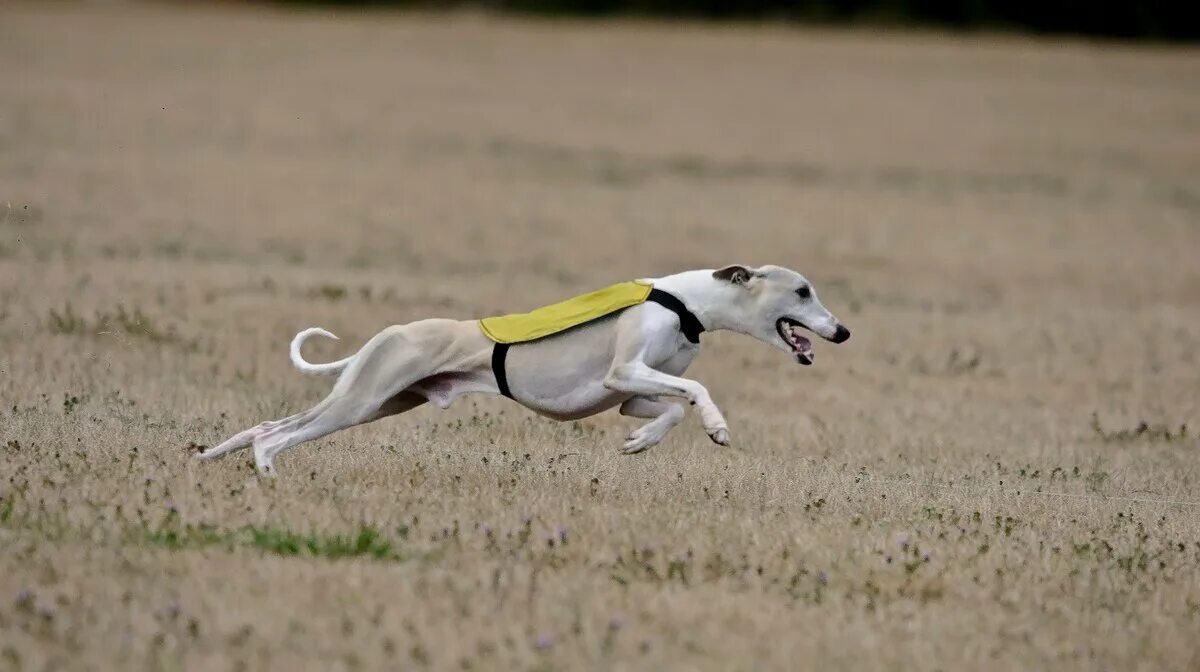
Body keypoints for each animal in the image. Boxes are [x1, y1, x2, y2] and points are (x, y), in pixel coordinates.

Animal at [196, 265, 849, 475]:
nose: (842, 331)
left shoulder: (630, 391)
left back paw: (214, 458)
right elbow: (695, 388)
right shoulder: (622, 371)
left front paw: (639, 441)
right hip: (362, 399)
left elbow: (665, 408)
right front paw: (717, 426)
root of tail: (387, 335)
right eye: (803, 290)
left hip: (383, 400)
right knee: (277, 434)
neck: (687, 302)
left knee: (266, 425)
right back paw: (265, 472)